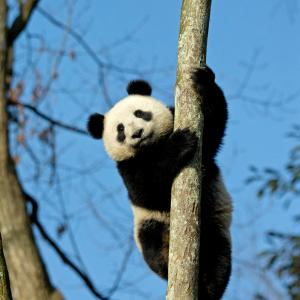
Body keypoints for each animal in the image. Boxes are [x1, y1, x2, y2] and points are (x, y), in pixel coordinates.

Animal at [86, 66, 232, 300]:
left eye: (140, 113)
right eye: (120, 129)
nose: (137, 133)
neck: (152, 148)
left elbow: (213, 129)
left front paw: (204, 80)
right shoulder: (127, 167)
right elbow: (147, 191)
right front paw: (179, 144)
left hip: (215, 227)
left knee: (218, 260)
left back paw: (208, 287)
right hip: (149, 224)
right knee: (153, 245)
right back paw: (169, 260)